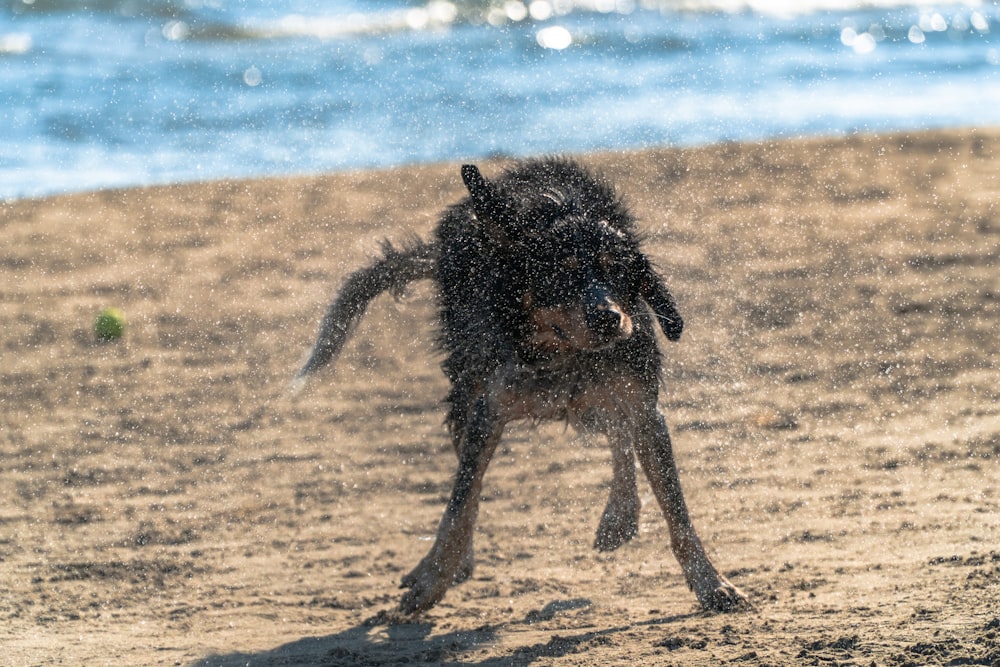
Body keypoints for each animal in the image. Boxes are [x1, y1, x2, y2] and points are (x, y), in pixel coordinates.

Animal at [294, 158, 752, 616]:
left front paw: (712, 582)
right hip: (466, 384)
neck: (564, 353)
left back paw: (619, 515)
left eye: (618, 270)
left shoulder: (641, 403)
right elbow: (459, 505)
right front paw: (431, 580)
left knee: (617, 433)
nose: (609, 318)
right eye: (560, 273)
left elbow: (677, 510)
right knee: (469, 474)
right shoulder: (490, 407)